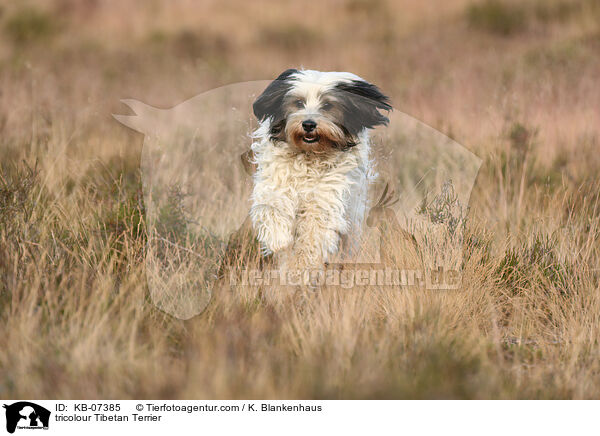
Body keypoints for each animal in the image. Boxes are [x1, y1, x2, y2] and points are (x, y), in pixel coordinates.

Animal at [247, 69, 392, 270]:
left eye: (328, 105)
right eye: (299, 102)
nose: (308, 124)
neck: (309, 156)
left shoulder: (326, 198)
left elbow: (314, 231)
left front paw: (303, 265)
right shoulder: (275, 182)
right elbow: (273, 204)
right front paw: (278, 238)